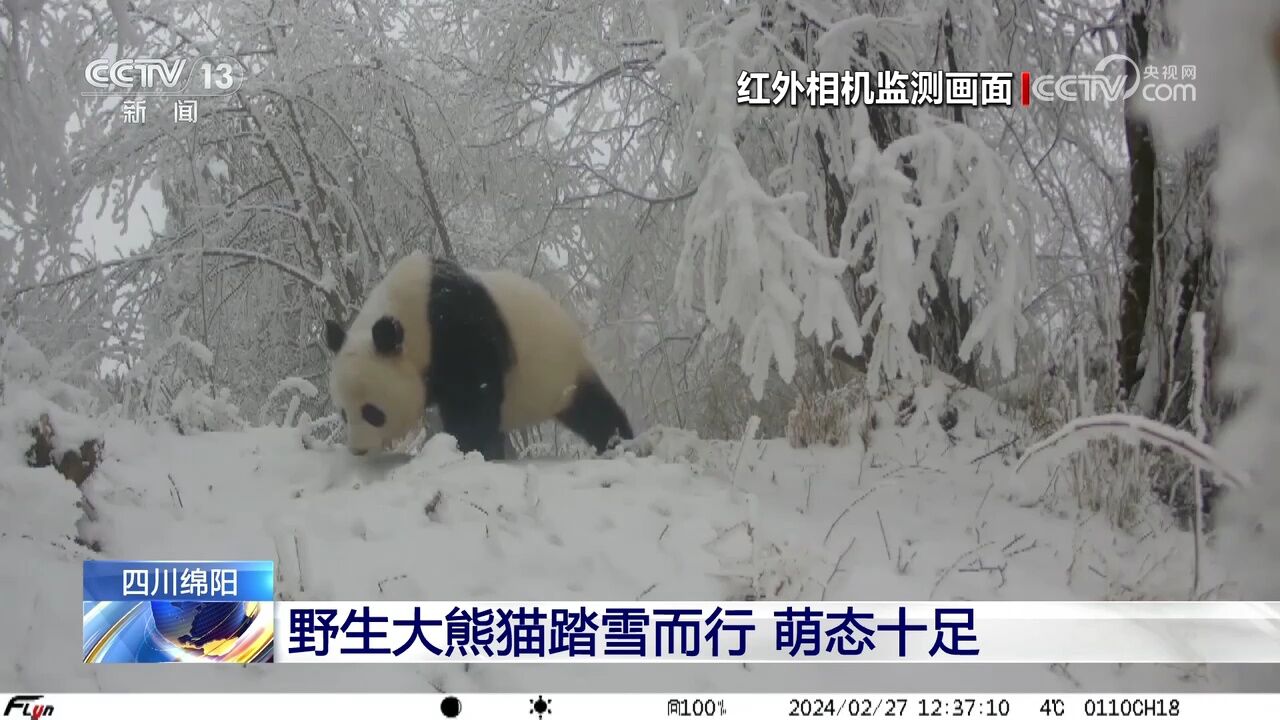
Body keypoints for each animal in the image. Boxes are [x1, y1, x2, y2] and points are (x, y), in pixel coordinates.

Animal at [322, 249, 632, 456]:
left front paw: (472, 449)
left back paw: (619, 442)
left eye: (373, 412)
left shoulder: (455, 326)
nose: (359, 449)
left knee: (594, 409)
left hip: (560, 368)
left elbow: (473, 396)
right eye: (343, 413)